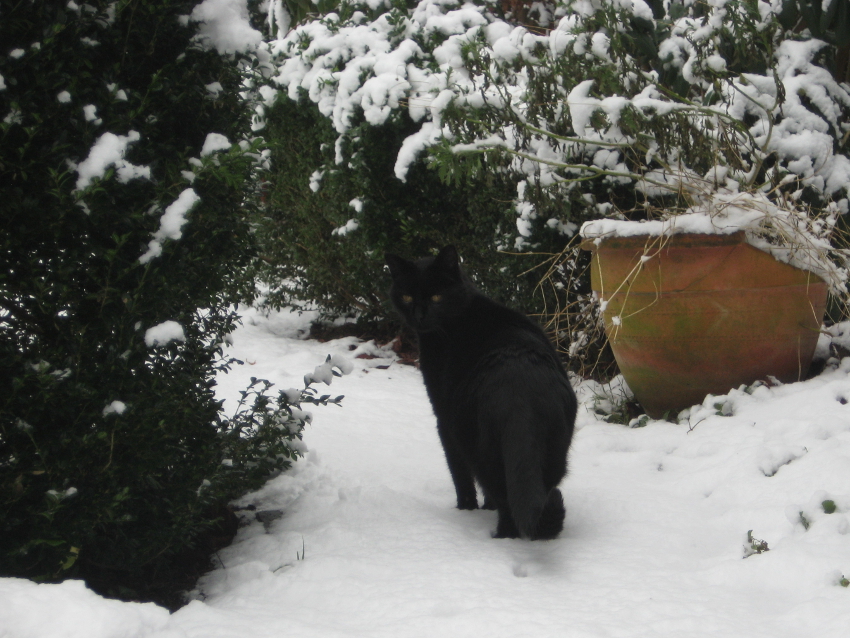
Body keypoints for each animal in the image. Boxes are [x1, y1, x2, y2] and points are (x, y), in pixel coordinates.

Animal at [385, 245, 576, 540]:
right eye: (406, 296)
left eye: (437, 296)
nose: (419, 315)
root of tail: (521, 396)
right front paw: (485, 508)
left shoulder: (443, 421)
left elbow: (460, 476)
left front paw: (466, 510)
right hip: (555, 450)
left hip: (474, 443)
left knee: (503, 499)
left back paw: (499, 537)